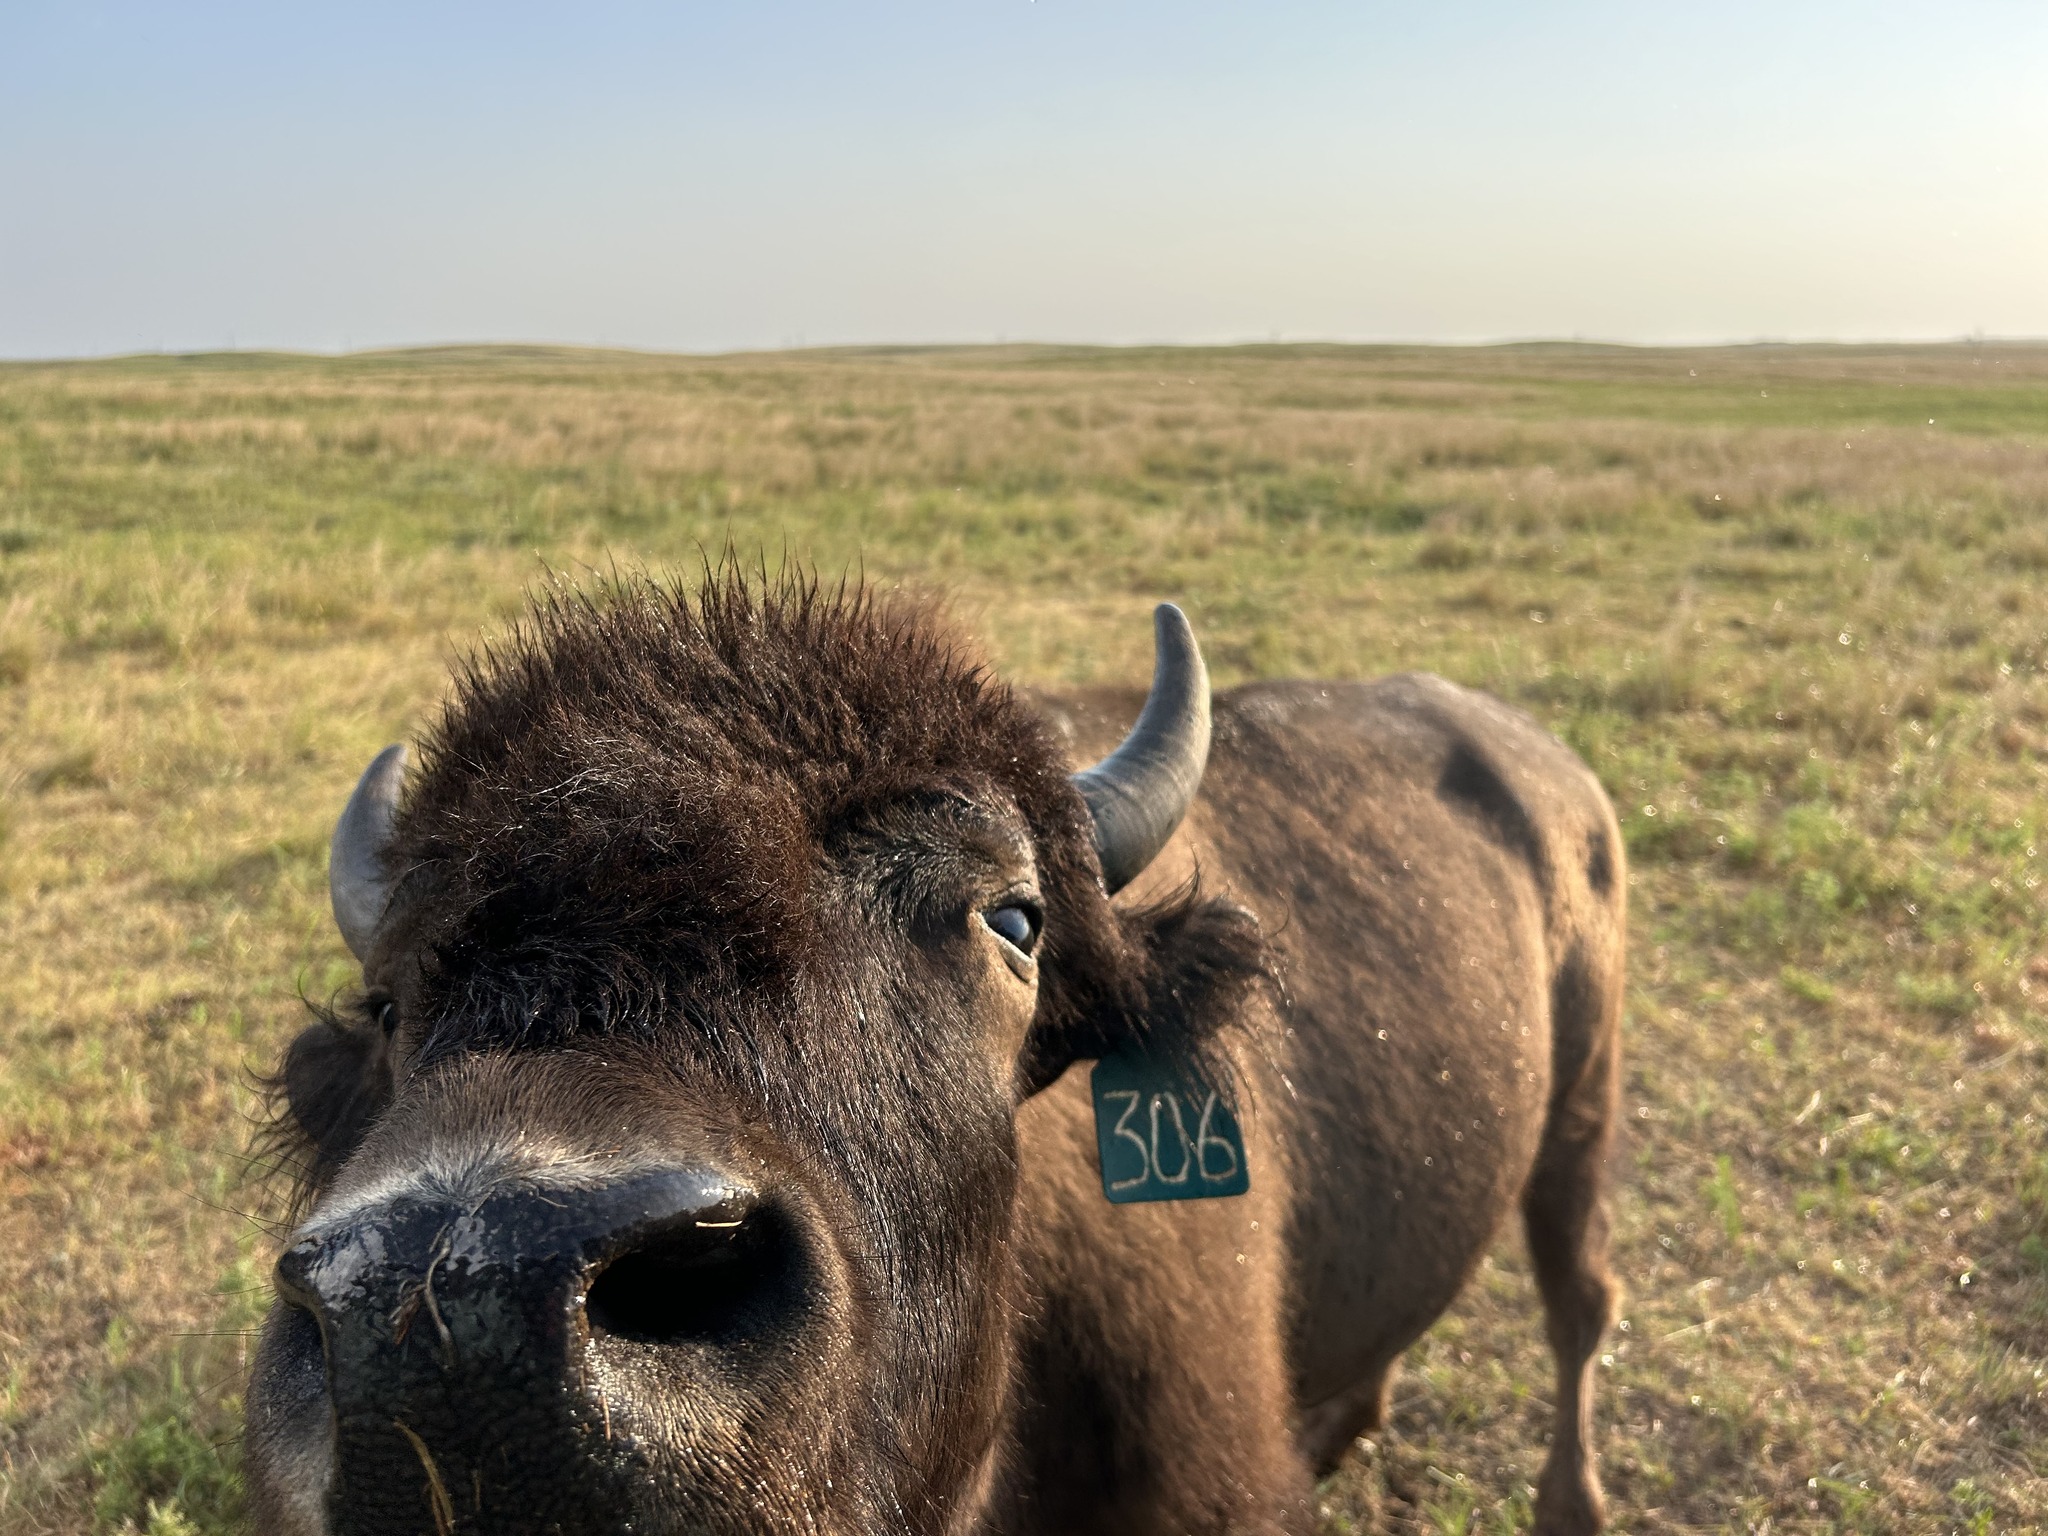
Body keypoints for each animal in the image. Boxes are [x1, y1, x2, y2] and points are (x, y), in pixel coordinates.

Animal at [247, 577, 1622, 1536]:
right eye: (386, 1003)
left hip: (1582, 1112)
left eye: (1009, 920)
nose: (452, 1324)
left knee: (1577, 1301)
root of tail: (1541, 762)